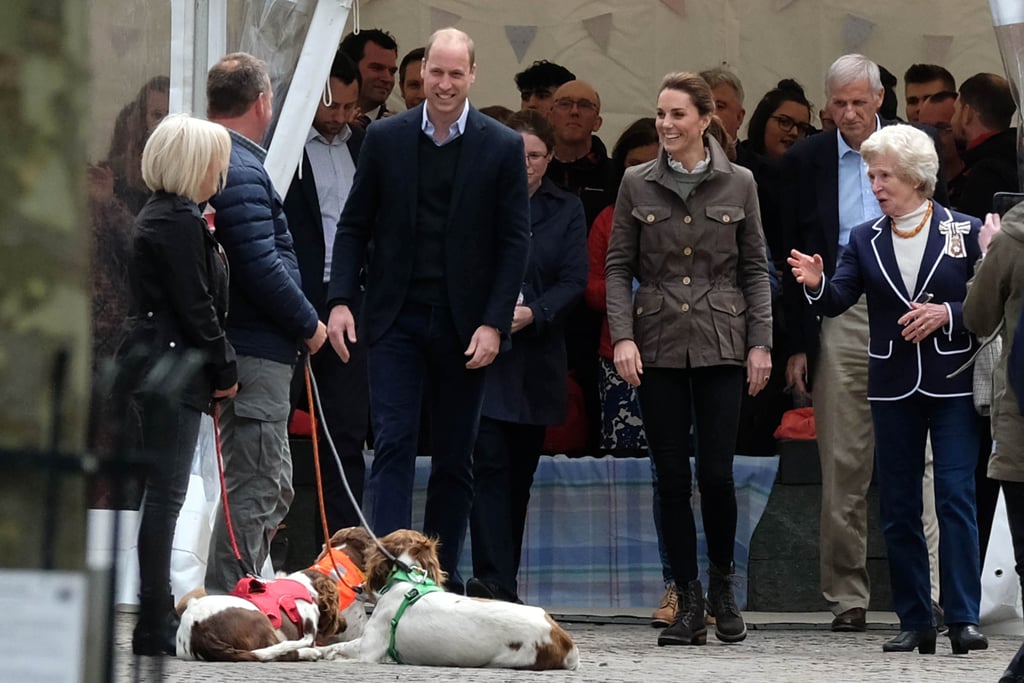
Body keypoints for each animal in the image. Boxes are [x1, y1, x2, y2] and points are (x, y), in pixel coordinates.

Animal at [315, 532, 581, 671]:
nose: (358, 588)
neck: (407, 581)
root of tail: (564, 640)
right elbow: (333, 646)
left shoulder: (368, 650)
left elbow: (338, 650)